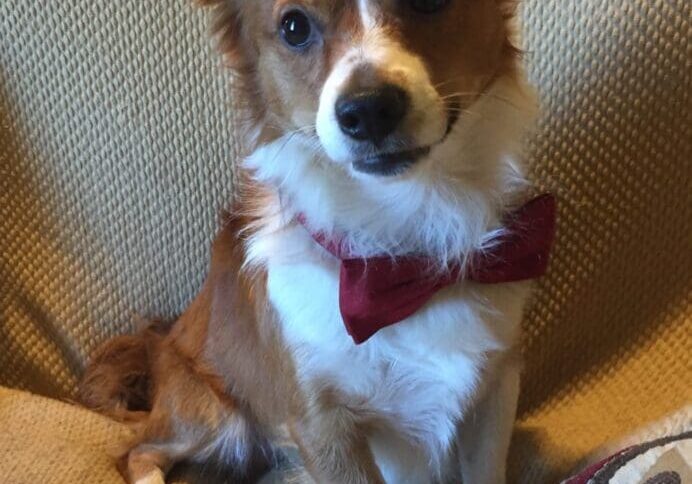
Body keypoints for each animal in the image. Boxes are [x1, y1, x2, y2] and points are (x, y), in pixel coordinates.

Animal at [78, 1, 556, 482]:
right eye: (294, 26)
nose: (368, 110)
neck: (401, 257)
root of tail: (158, 343)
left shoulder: (495, 388)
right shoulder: (322, 426)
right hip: (217, 417)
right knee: (138, 451)